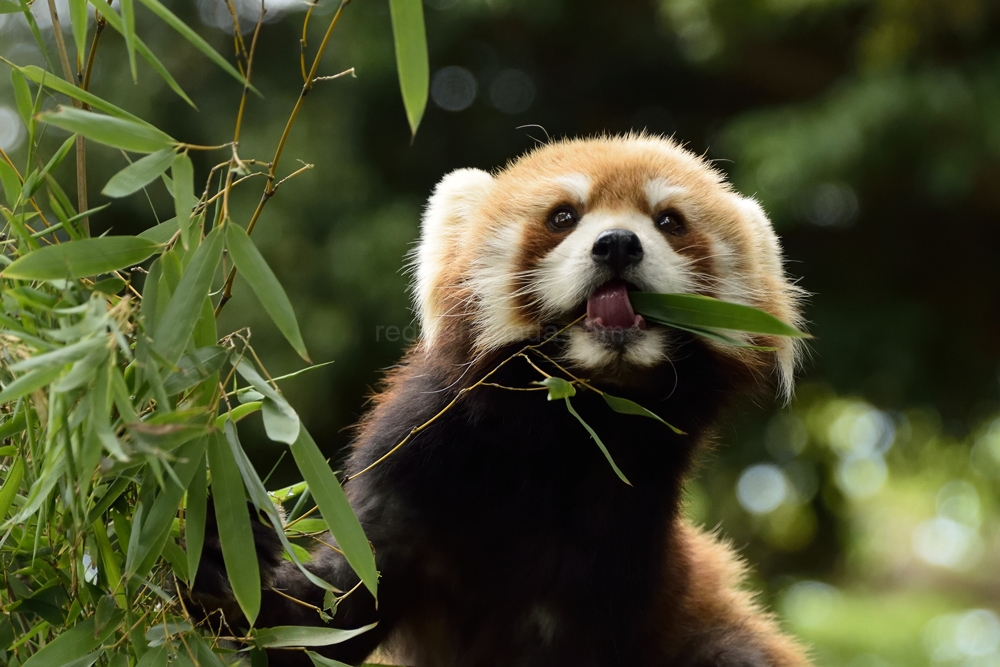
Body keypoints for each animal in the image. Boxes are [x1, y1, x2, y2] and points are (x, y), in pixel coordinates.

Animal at [189, 136, 812, 667]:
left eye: (669, 221)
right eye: (563, 216)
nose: (617, 243)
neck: (573, 421)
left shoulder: (625, 539)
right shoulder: (416, 475)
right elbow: (319, 618)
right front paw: (220, 545)